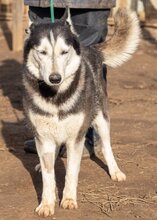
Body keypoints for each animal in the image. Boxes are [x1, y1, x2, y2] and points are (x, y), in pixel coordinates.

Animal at [23, 8, 140, 217]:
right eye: (42, 52)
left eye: (64, 52)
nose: (55, 78)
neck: (56, 97)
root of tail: (90, 48)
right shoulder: (43, 137)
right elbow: (48, 177)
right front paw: (47, 203)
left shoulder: (75, 138)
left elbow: (71, 172)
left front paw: (68, 199)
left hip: (100, 118)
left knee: (106, 146)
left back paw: (115, 171)